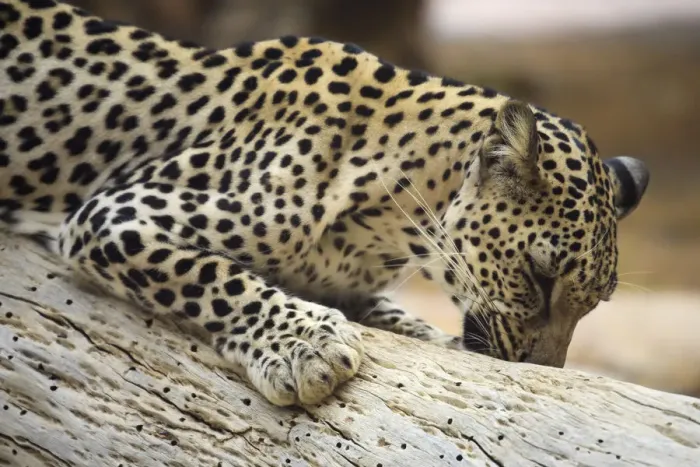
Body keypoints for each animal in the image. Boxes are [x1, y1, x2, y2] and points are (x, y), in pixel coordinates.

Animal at [0, 0, 649, 407]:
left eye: (593, 305)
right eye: (539, 277)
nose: (542, 373)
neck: (391, 230)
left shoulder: (351, 284)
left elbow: (397, 316)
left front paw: (430, 339)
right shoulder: (116, 214)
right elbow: (209, 276)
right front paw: (304, 347)